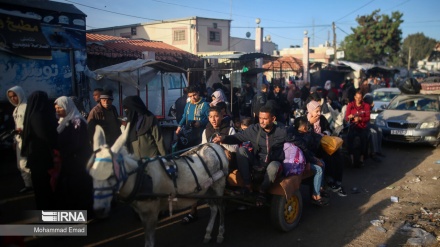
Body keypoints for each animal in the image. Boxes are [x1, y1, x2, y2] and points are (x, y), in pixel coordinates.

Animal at [87, 125, 229, 247]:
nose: (99, 210)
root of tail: (214, 145)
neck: (140, 177)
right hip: (207, 189)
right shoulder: (143, 214)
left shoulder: (151, 213)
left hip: (218, 186)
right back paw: (208, 234)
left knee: (221, 208)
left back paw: (220, 234)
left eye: (111, 174)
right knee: (214, 209)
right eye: (91, 173)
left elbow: (149, 243)